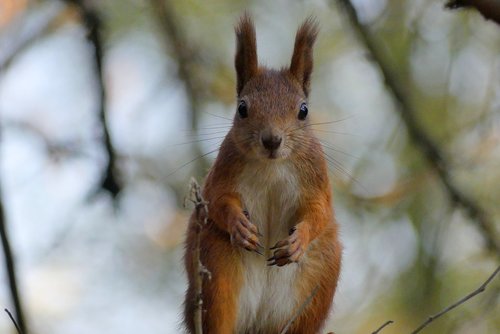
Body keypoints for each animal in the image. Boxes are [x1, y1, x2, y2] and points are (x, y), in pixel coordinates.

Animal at [184, 14, 344, 332]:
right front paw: (238, 225)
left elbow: (319, 212)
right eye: (242, 108)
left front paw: (298, 240)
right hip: (217, 268)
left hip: (317, 284)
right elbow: (218, 201)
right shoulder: (223, 172)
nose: (272, 140)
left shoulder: (316, 178)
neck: (272, 166)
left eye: (304, 110)